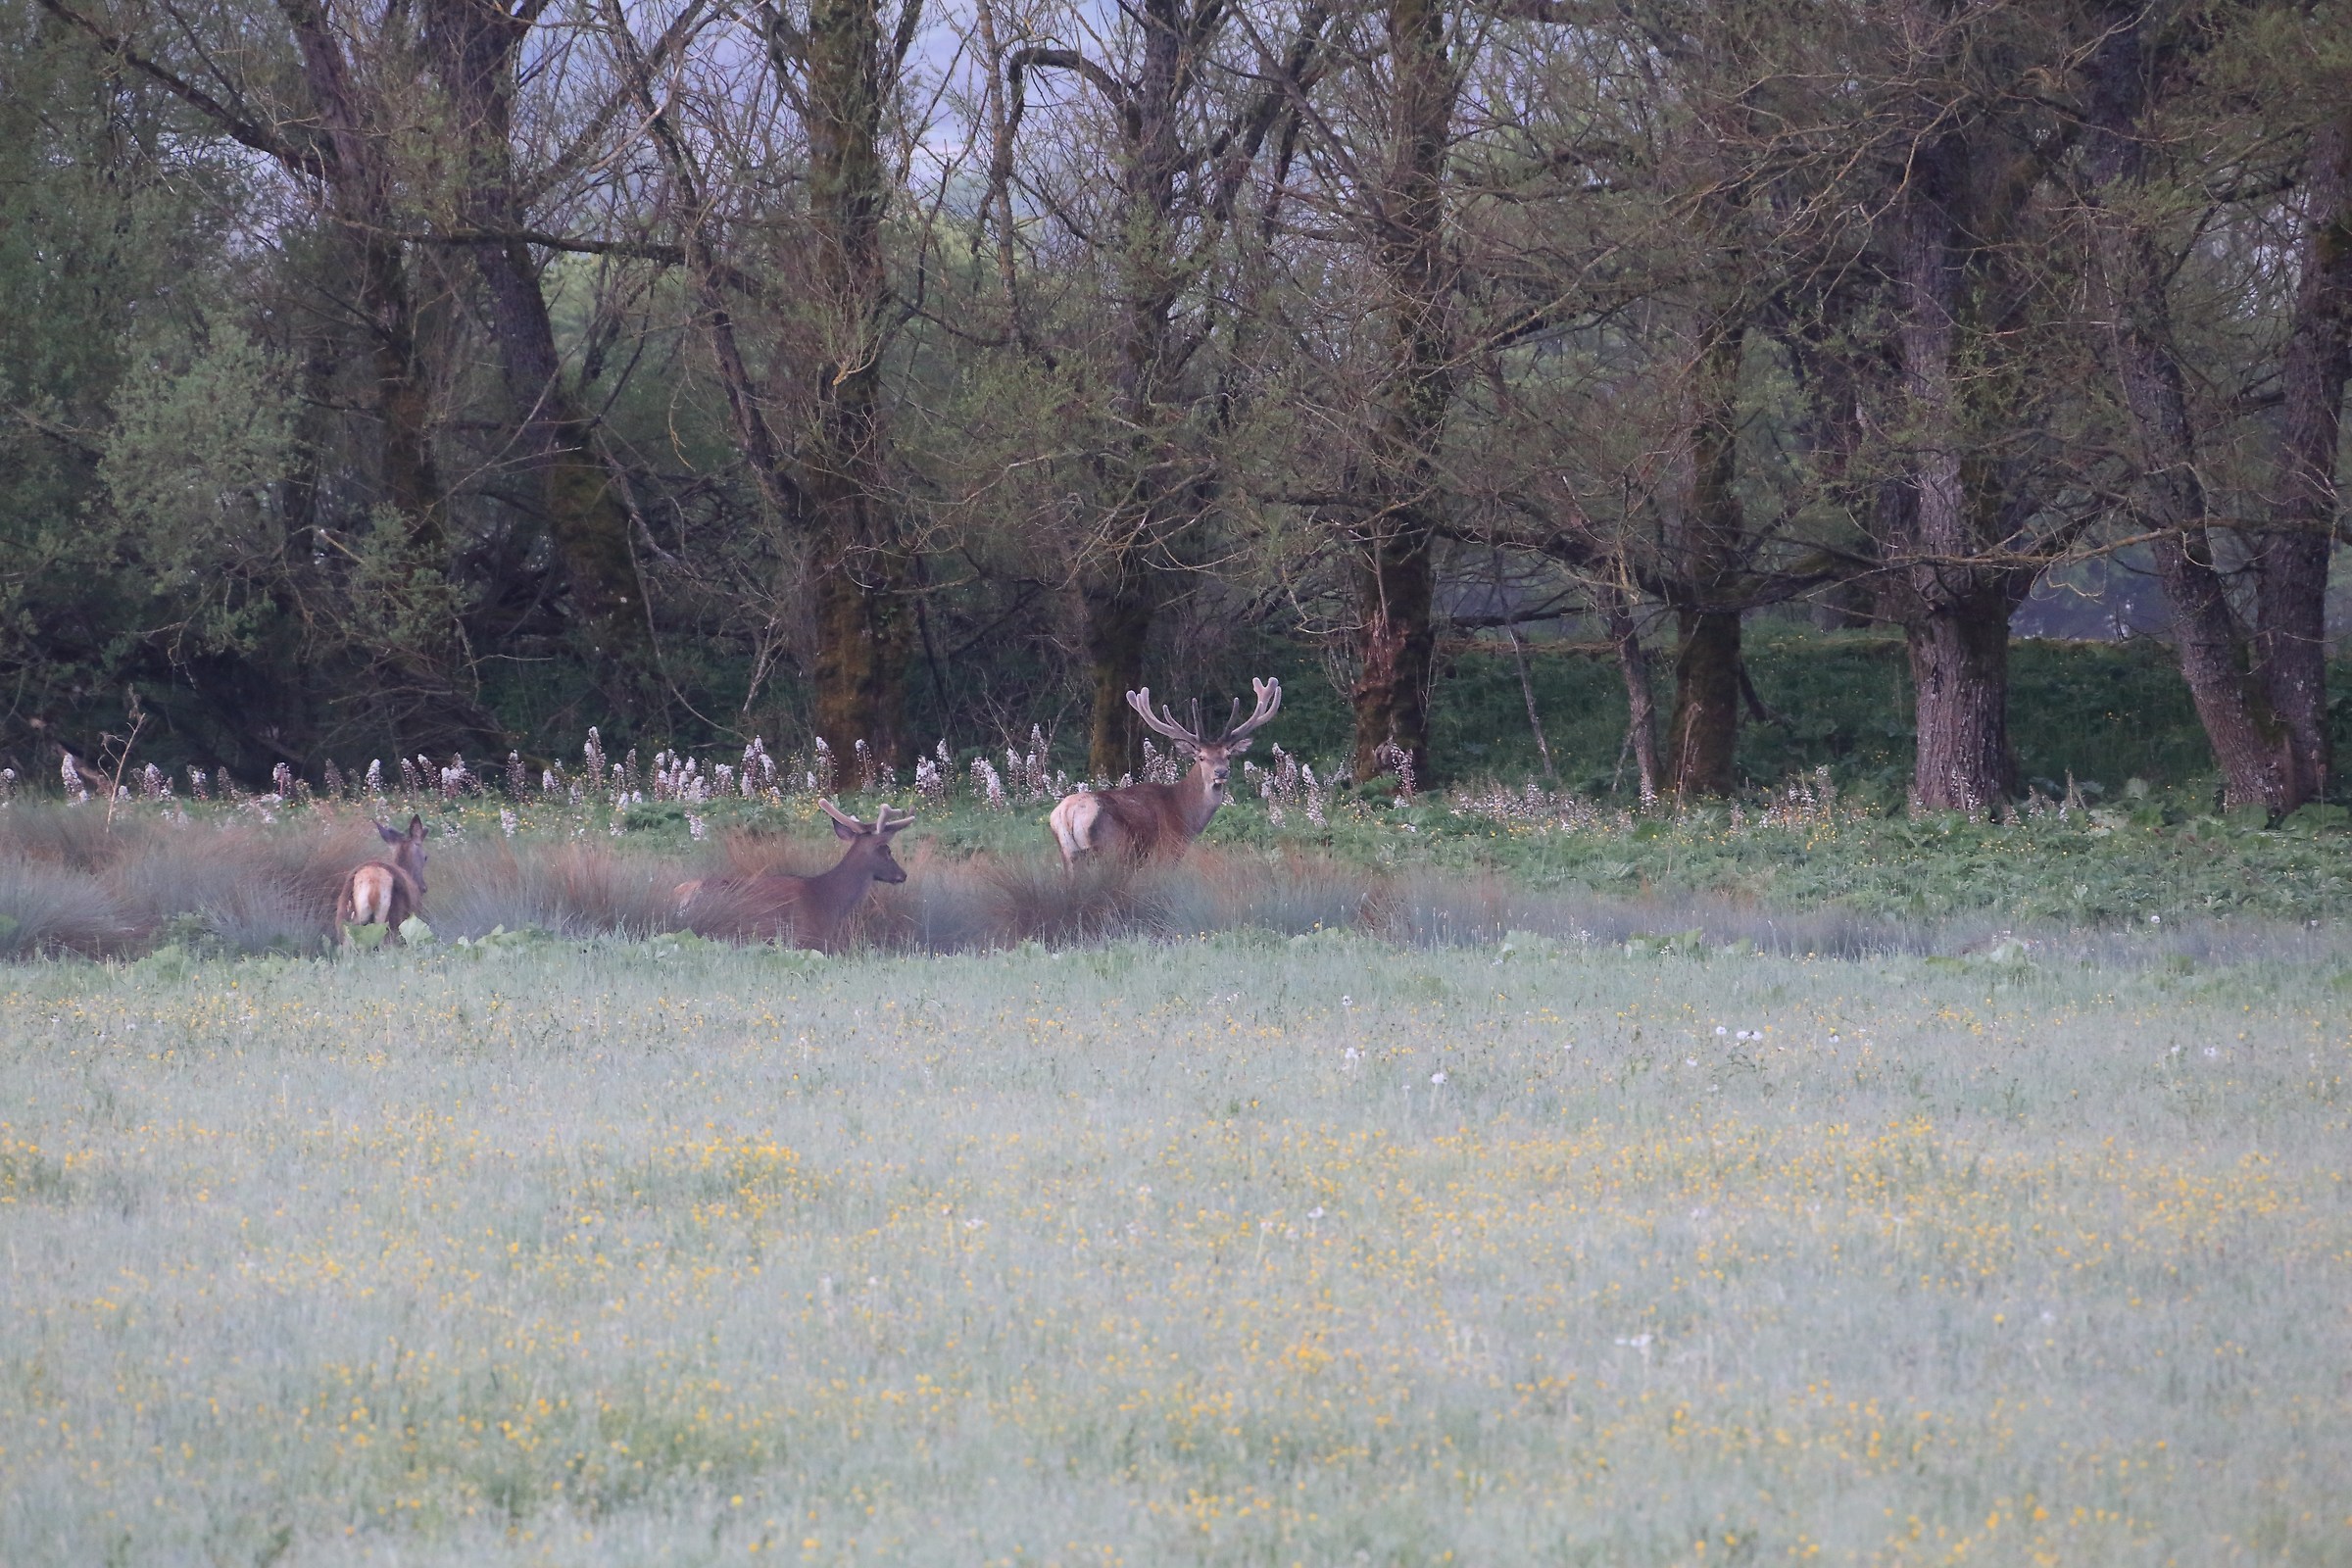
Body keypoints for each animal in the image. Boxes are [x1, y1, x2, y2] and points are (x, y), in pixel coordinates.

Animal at [1048, 678, 1282, 866]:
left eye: (1228, 755)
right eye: (1201, 757)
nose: (1221, 772)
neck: (1186, 815)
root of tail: (1067, 813)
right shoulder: (1168, 851)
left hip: (1068, 855)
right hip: (1113, 849)